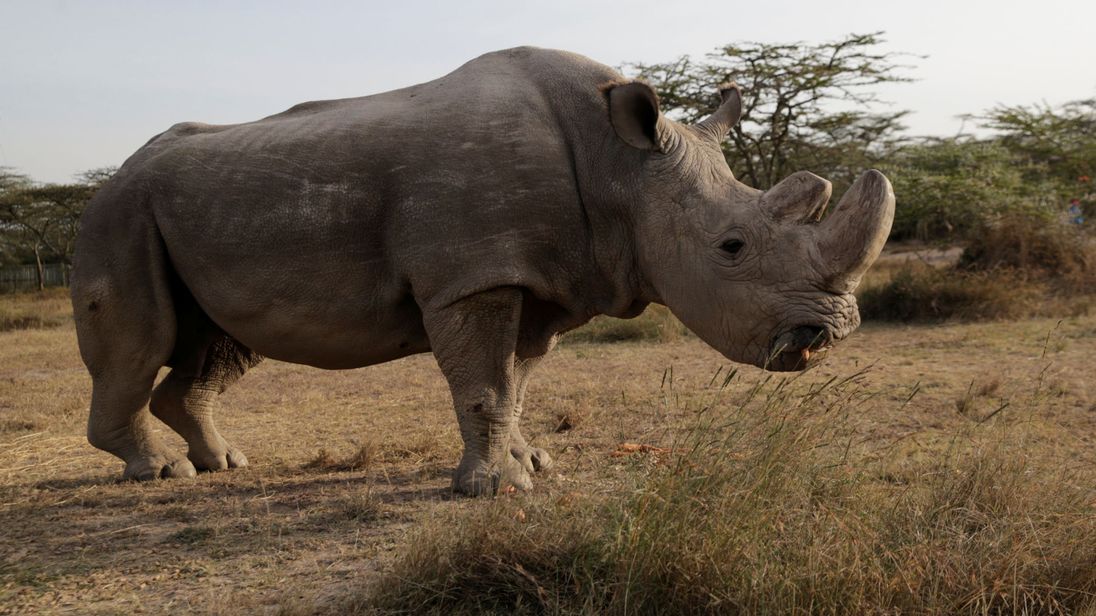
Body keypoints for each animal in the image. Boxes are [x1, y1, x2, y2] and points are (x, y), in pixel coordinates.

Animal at [71, 46, 894, 496]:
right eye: (731, 247)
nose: (828, 335)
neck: (621, 167)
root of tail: (113, 175)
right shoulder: (473, 277)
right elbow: (485, 384)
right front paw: (494, 490)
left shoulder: (543, 279)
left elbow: (515, 383)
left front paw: (534, 463)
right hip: (118, 214)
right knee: (142, 340)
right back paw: (161, 474)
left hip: (191, 213)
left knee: (219, 345)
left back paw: (224, 465)